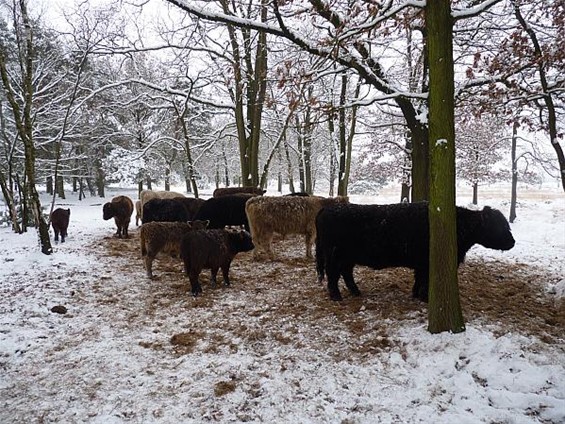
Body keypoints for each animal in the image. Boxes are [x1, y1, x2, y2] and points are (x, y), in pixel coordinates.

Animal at [316, 201, 512, 302]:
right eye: (499, 225)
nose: (512, 242)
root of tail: (328, 208)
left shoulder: (421, 263)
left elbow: (419, 279)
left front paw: (416, 294)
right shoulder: (426, 263)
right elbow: (425, 280)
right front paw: (425, 298)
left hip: (347, 258)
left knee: (346, 273)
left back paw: (356, 292)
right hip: (335, 256)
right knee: (333, 275)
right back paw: (337, 296)